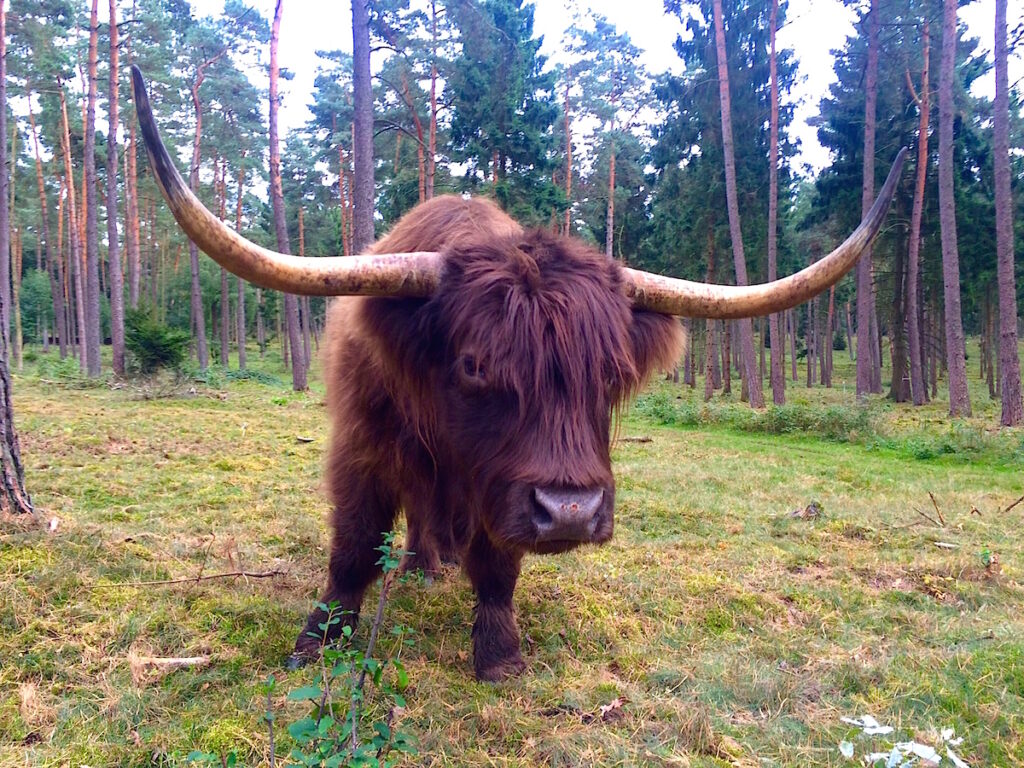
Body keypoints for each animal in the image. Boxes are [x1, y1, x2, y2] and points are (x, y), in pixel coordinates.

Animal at [130, 66, 905, 679]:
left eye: (611, 373)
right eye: (475, 364)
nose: (570, 512)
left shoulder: (499, 491)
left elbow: (499, 567)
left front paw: (499, 655)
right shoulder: (361, 450)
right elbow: (350, 549)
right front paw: (314, 643)